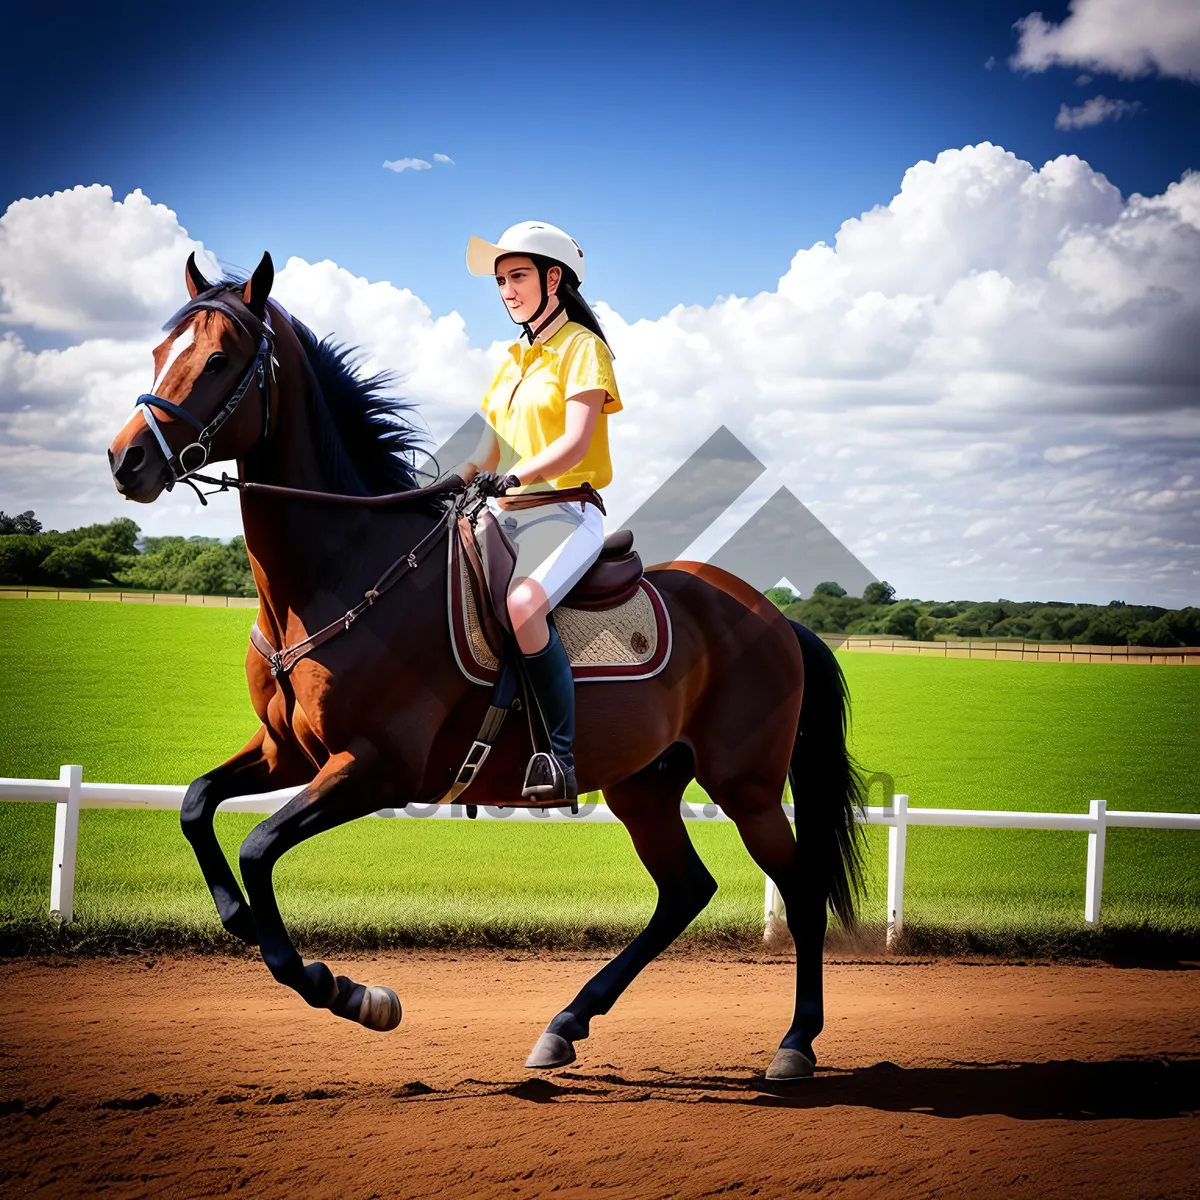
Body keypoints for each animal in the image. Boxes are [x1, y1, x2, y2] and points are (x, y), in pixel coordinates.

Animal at [108, 250, 868, 1080]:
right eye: (159, 351)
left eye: (218, 359)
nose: (126, 459)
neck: (342, 569)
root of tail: (775, 616)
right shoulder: (289, 752)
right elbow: (196, 807)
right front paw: (249, 926)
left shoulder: (374, 768)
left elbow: (257, 846)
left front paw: (346, 991)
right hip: (645, 784)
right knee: (684, 891)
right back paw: (566, 1025)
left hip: (748, 788)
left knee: (799, 892)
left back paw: (795, 1043)